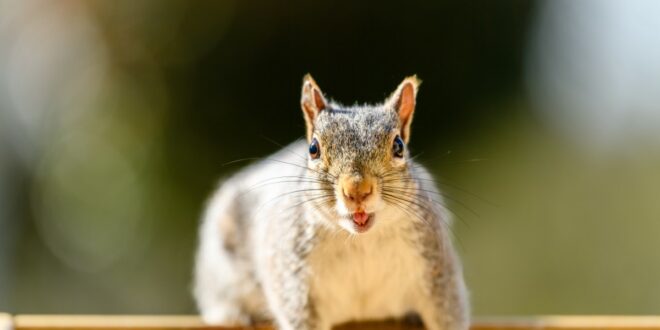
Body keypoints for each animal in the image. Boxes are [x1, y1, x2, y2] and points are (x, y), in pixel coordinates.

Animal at [192, 75, 470, 330]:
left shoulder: (437, 273)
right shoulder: (295, 284)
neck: (360, 241)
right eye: (313, 148)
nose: (357, 190)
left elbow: (449, 314)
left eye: (399, 146)